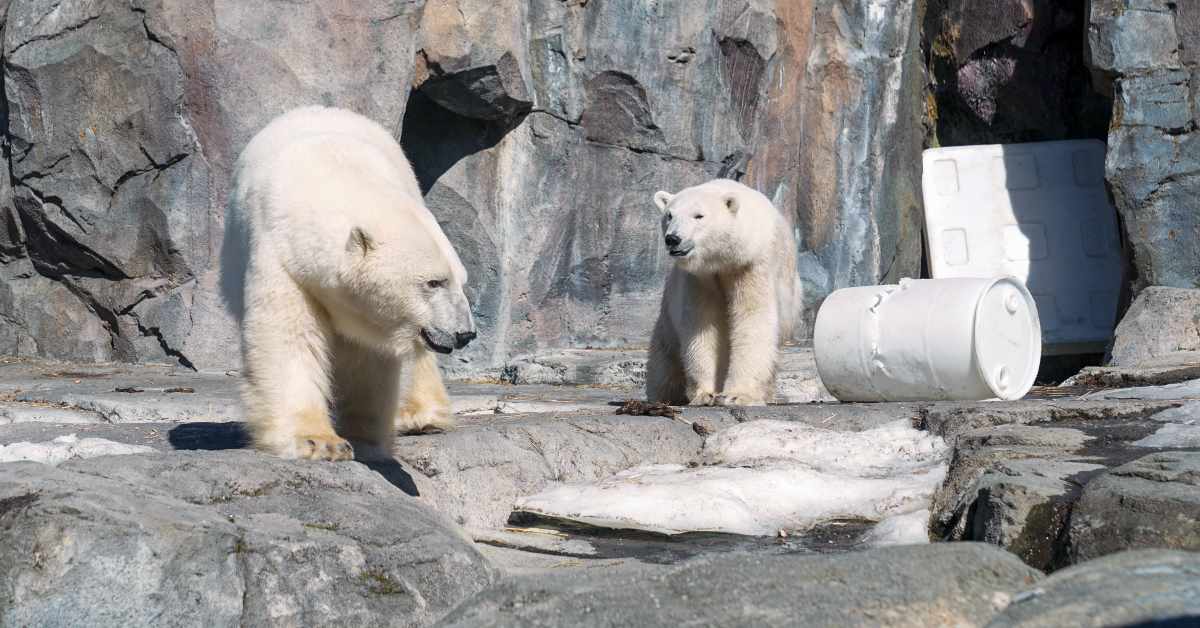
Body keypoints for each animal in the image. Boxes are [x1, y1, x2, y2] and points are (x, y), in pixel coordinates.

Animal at [225, 106, 472, 461]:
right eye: (433, 282)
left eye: (460, 281)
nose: (466, 333)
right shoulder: (281, 254)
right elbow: (289, 336)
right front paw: (319, 442)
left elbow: (369, 357)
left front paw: (365, 437)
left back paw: (419, 416)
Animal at [643, 178, 801, 405]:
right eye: (669, 215)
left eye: (698, 215)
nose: (673, 238)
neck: (724, 260)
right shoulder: (700, 278)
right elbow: (702, 324)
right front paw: (705, 394)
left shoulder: (752, 265)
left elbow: (753, 318)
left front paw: (737, 395)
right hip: (668, 315)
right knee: (666, 356)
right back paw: (663, 397)